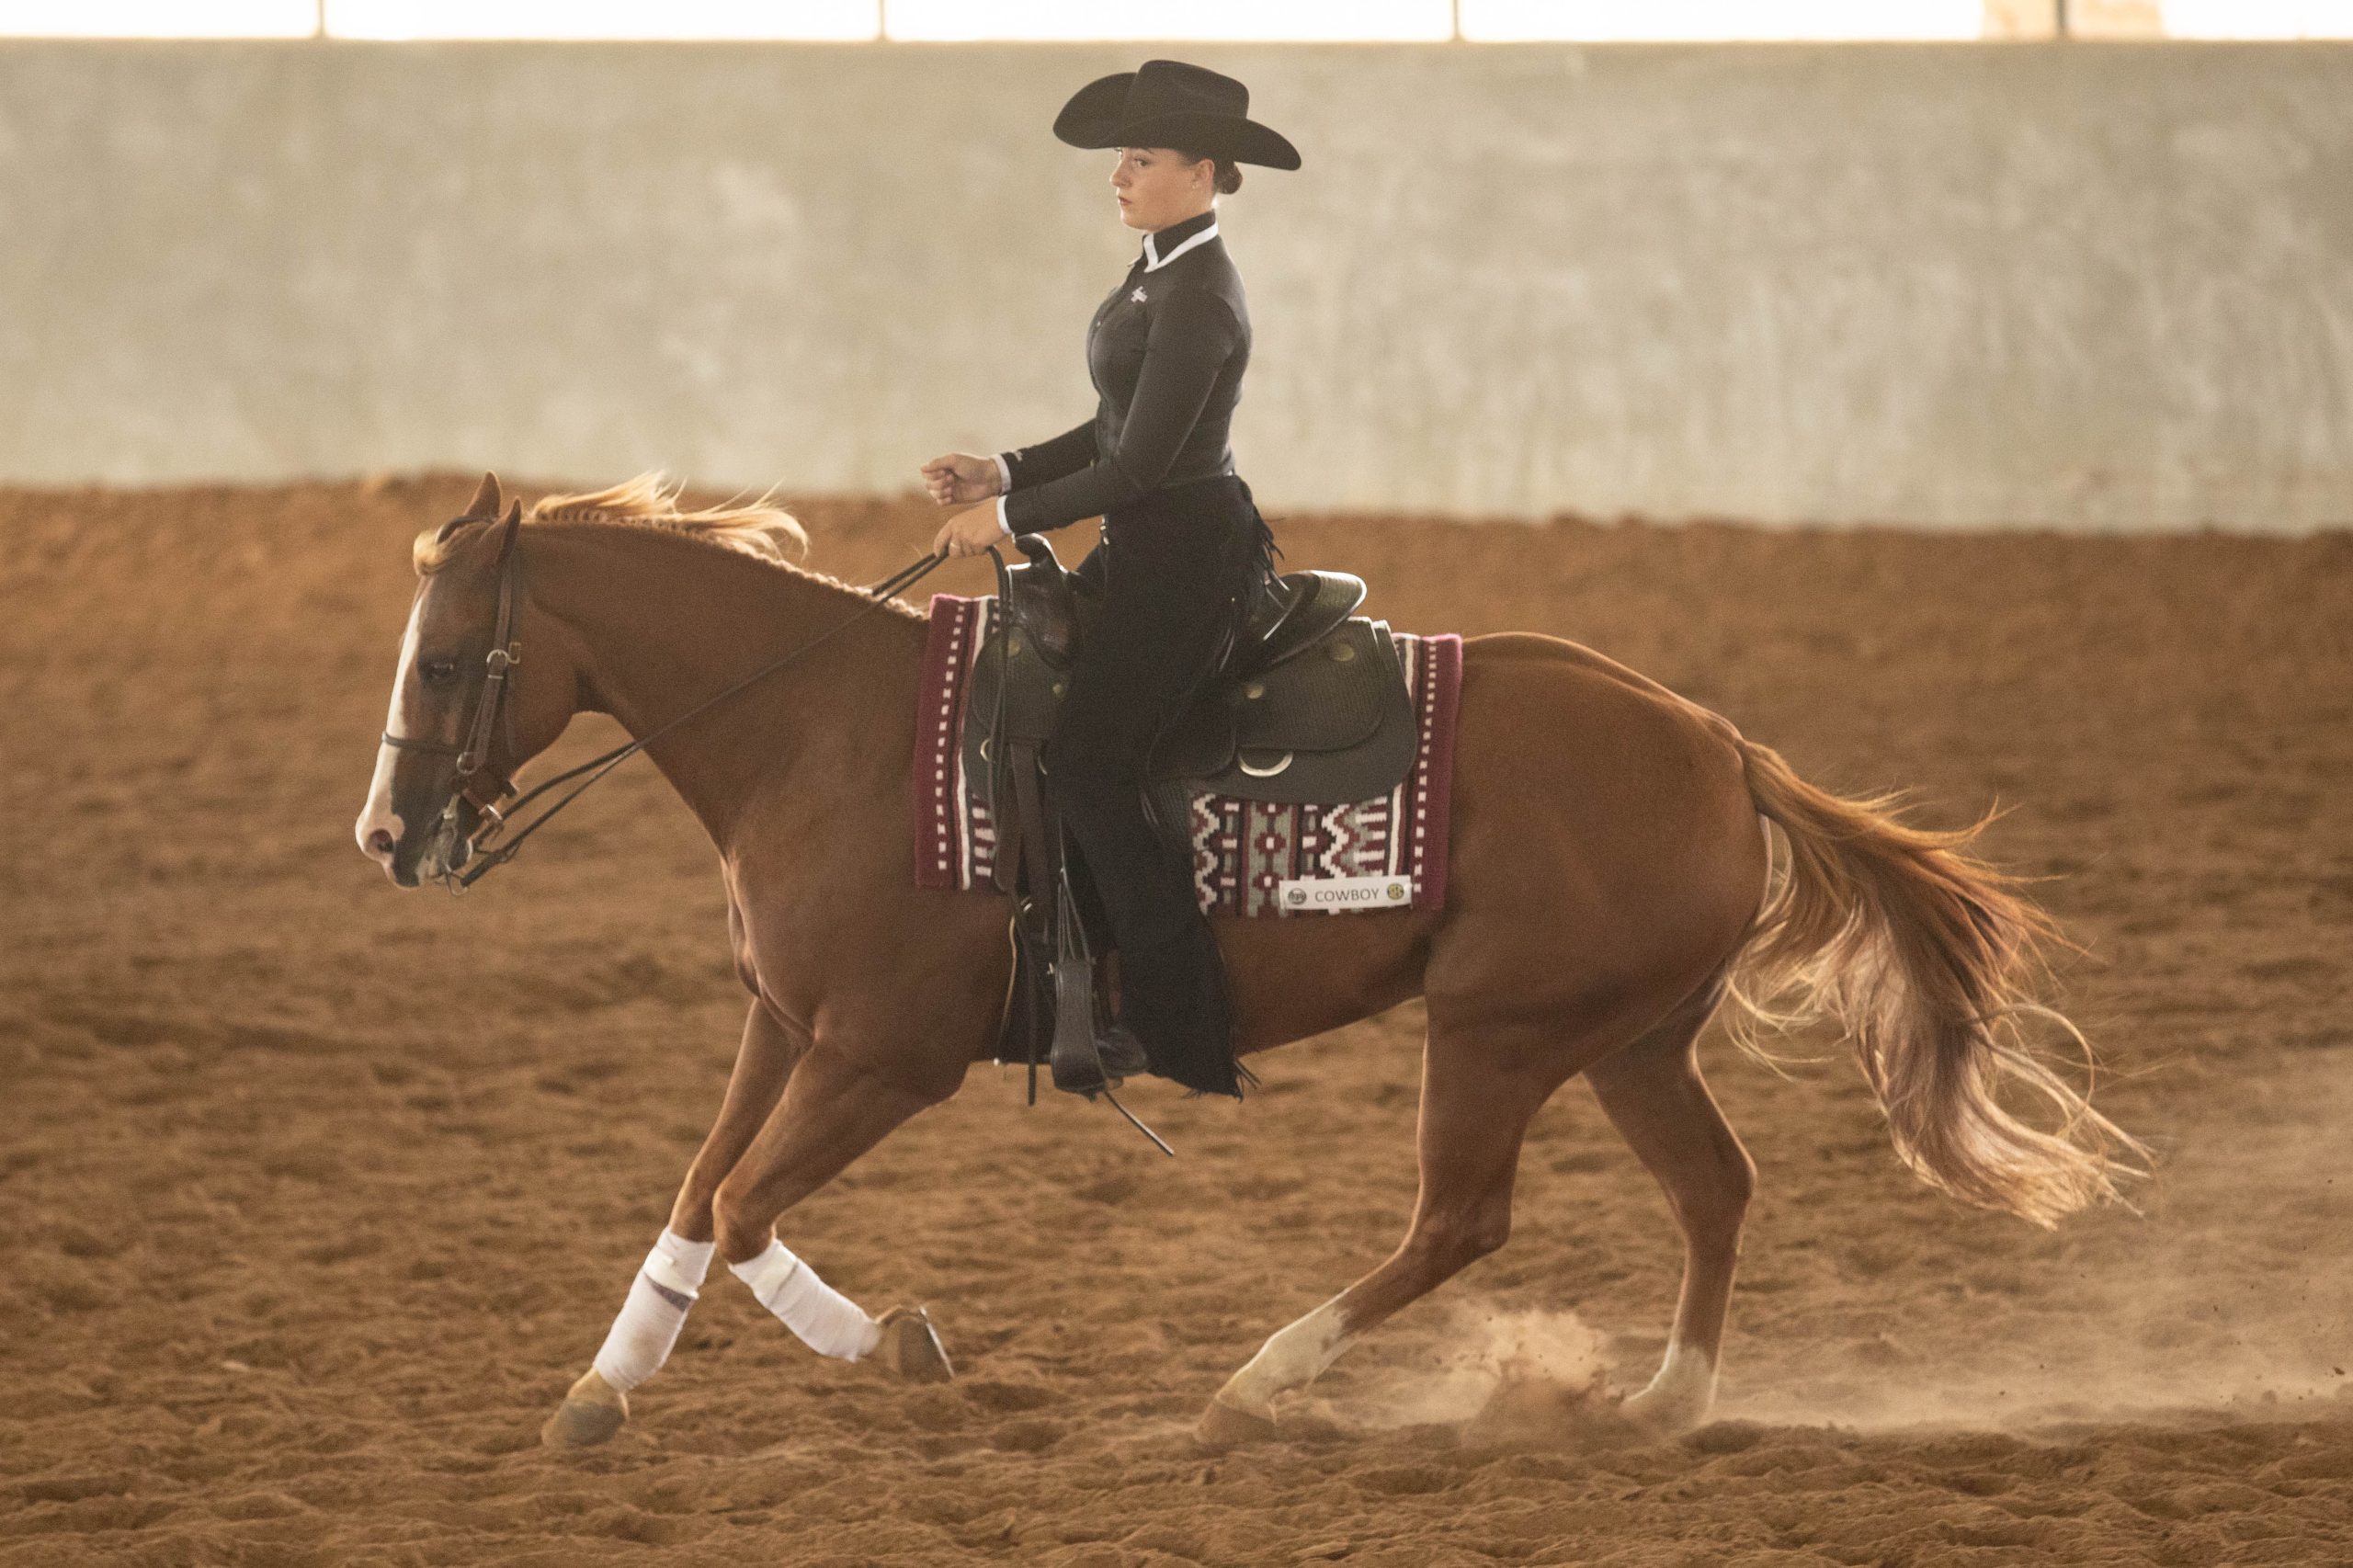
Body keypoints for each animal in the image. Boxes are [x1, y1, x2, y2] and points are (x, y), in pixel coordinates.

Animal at [353, 471, 2154, 1449]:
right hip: (1631, 1039)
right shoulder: (781, 1023)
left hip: (1499, 1030)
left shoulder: (882, 1054)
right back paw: (1663, 1401)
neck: (827, 730)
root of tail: (1720, 744)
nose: (385, 836)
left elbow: (739, 1208)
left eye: (443, 662)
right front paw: (599, 1393)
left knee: (1461, 1218)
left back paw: (1258, 1382)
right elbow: (693, 1199)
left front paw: (902, 1347)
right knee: (1715, 1189)